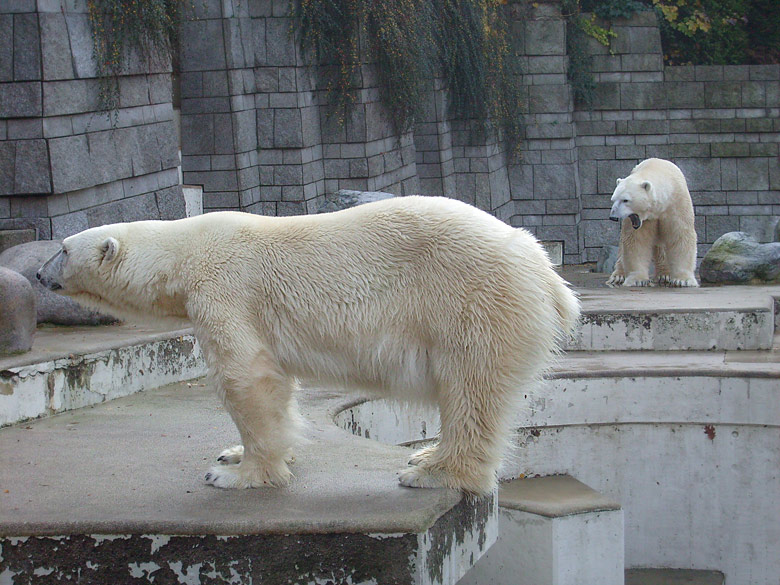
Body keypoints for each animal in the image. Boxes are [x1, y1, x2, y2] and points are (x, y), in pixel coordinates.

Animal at [39, 195, 580, 492]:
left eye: (61, 249)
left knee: (471, 389)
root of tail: (550, 277)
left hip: (473, 303)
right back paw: (424, 456)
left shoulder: (224, 290)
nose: (41, 275)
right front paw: (233, 454)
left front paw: (236, 475)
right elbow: (274, 383)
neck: (185, 251)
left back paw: (434, 473)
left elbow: (244, 376)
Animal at [608, 157, 696, 288]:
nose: (613, 216)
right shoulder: (643, 221)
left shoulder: (676, 203)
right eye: (613, 199)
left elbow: (680, 235)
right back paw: (618, 276)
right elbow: (636, 240)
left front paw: (683, 280)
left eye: (625, 200)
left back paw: (665, 275)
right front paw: (637, 280)